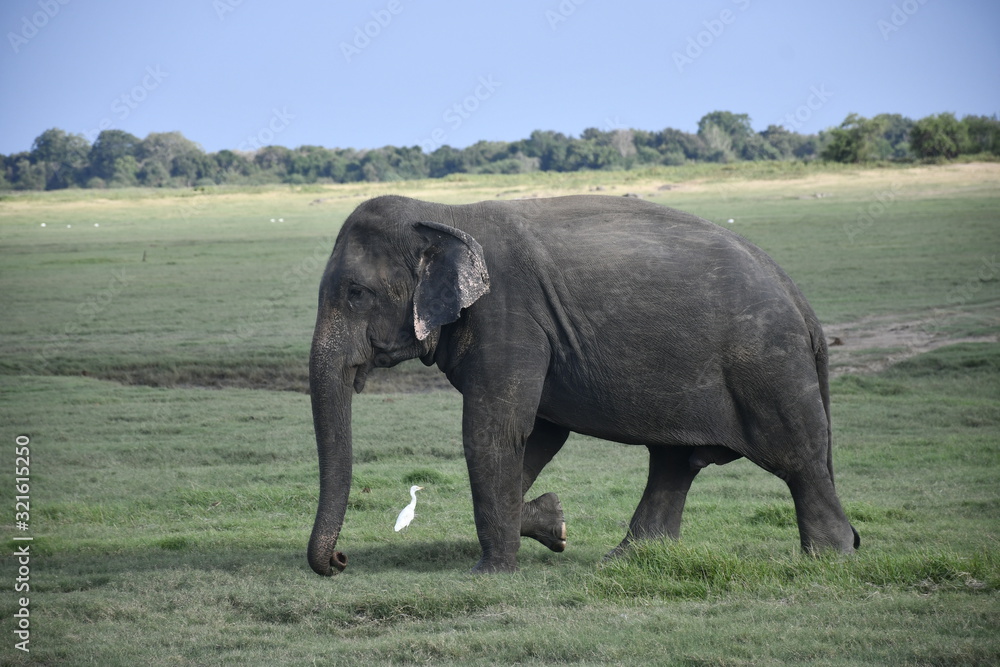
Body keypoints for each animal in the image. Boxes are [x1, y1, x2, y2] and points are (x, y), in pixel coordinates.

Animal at [307, 194, 859, 576]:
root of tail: (801, 301)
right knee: (674, 463)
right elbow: (539, 434)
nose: (340, 560)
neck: (442, 213)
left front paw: (490, 572)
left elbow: (495, 431)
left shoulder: (508, 317)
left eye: (355, 293)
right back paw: (627, 559)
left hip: (768, 365)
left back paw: (829, 559)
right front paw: (554, 523)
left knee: (797, 458)